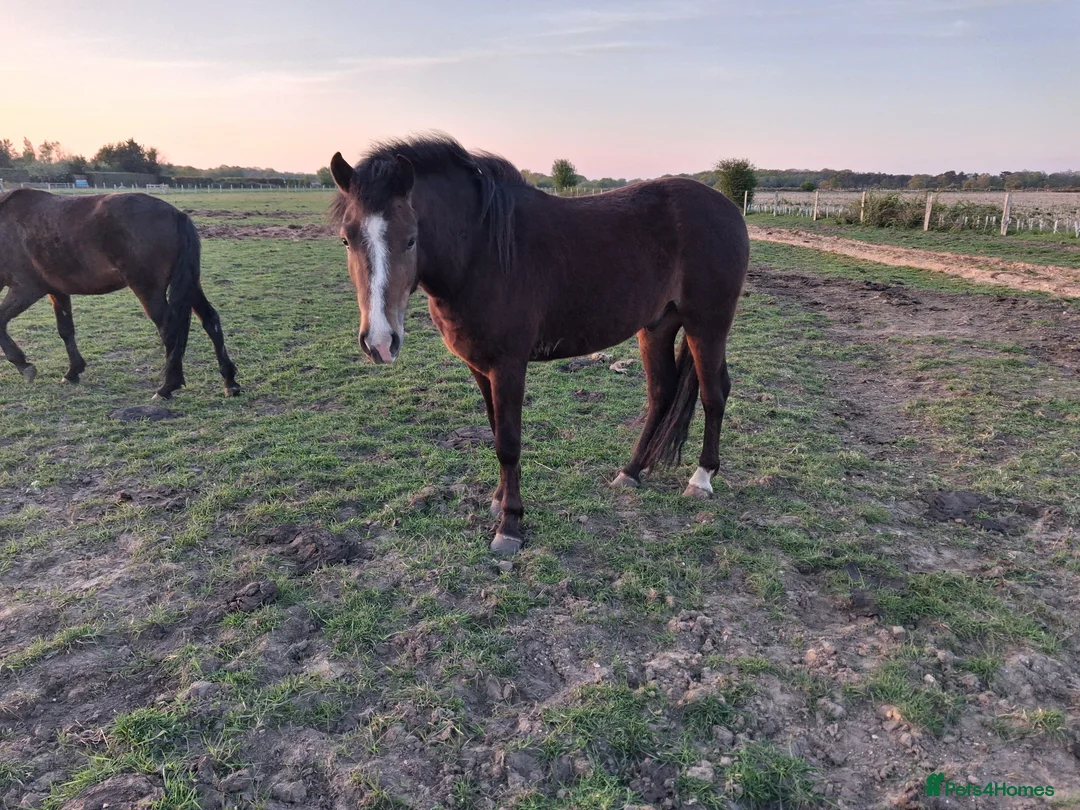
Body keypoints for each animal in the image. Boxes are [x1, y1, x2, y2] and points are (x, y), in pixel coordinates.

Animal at [0, 188, 240, 399]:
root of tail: (177, 215)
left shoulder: (27, 289)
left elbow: (1, 322)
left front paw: (24, 366)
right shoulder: (57, 291)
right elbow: (66, 330)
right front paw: (72, 372)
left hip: (148, 290)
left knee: (170, 330)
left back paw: (167, 387)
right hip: (190, 285)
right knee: (210, 320)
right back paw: (230, 382)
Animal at [328, 134, 748, 556]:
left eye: (411, 239)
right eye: (346, 239)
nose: (380, 342)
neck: (483, 251)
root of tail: (727, 207)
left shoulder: (509, 365)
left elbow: (509, 443)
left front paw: (510, 524)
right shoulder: (479, 366)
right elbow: (495, 430)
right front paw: (498, 499)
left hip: (706, 324)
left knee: (713, 394)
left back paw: (701, 479)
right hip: (658, 325)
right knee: (662, 392)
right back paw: (630, 472)